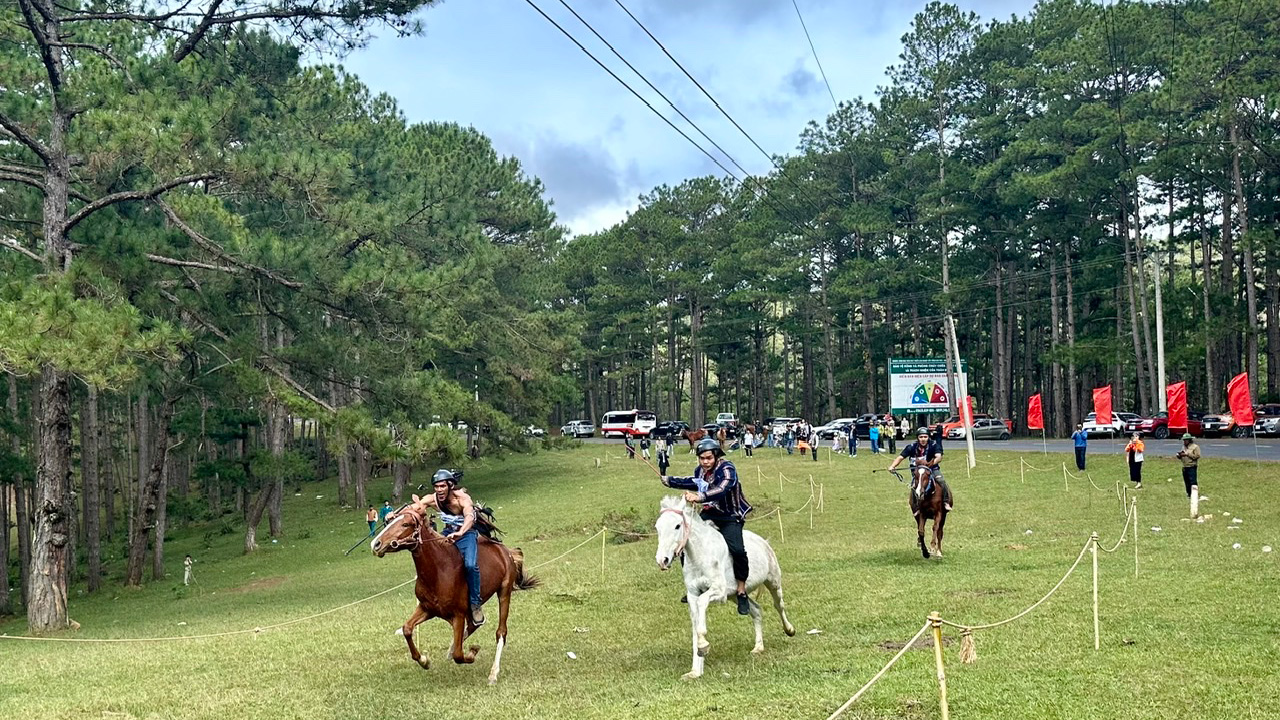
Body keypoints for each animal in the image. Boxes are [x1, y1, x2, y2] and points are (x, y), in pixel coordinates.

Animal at [368, 497, 537, 681]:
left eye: (406, 524)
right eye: (391, 521)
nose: (376, 544)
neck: (439, 570)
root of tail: (506, 551)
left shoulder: (458, 615)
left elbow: (459, 654)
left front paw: (472, 652)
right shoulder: (427, 608)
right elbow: (407, 629)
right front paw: (424, 660)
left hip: (504, 593)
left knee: (500, 632)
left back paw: (493, 673)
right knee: (474, 625)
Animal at [655, 497, 793, 676]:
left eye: (677, 526)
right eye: (657, 527)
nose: (662, 560)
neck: (700, 555)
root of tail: (763, 541)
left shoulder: (718, 592)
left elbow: (702, 603)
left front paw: (703, 645)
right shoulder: (692, 595)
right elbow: (695, 625)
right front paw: (695, 670)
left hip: (773, 581)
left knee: (779, 605)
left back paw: (789, 630)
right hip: (736, 595)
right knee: (756, 610)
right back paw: (758, 647)